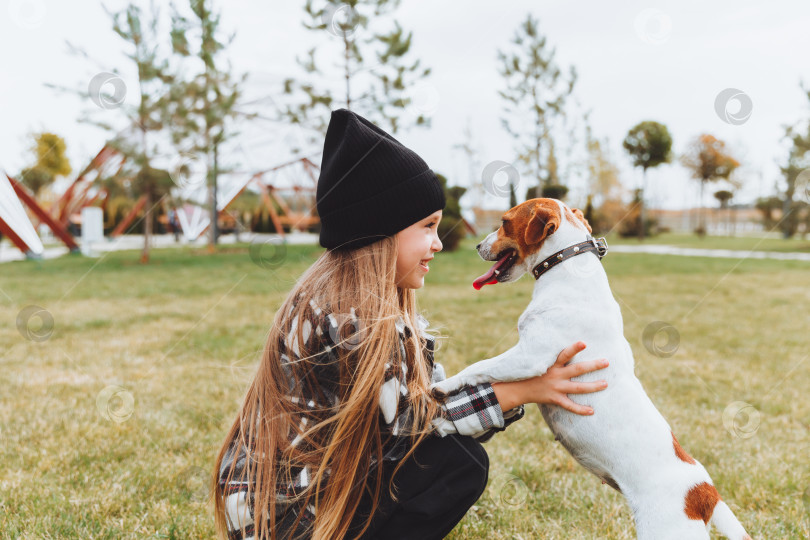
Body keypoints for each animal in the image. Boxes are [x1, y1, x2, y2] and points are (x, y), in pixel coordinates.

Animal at [430, 198, 752, 540]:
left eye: (504, 222)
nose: (477, 245)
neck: (565, 267)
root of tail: (705, 492)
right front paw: (442, 423)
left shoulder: (530, 355)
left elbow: (480, 366)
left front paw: (445, 386)